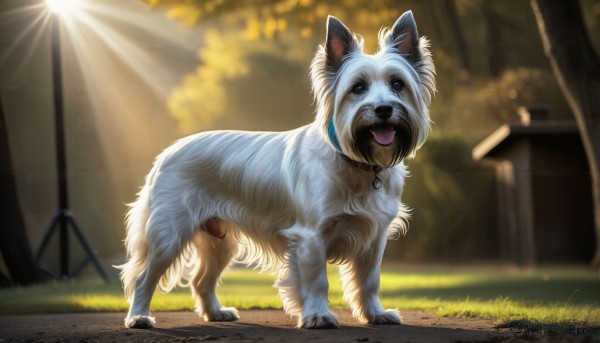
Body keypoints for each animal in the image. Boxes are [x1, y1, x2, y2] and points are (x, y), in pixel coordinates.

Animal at [118, 11, 436, 330]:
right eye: (358, 88)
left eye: (397, 84)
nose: (383, 109)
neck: (357, 163)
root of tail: (166, 153)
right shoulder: (310, 237)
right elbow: (317, 281)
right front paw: (318, 315)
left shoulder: (374, 237)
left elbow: (369, 281)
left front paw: (375, 314)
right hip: (169, 234)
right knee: (143, 278)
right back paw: (139, 316)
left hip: (219, 239)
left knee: (201, 280)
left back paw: (215, 312)